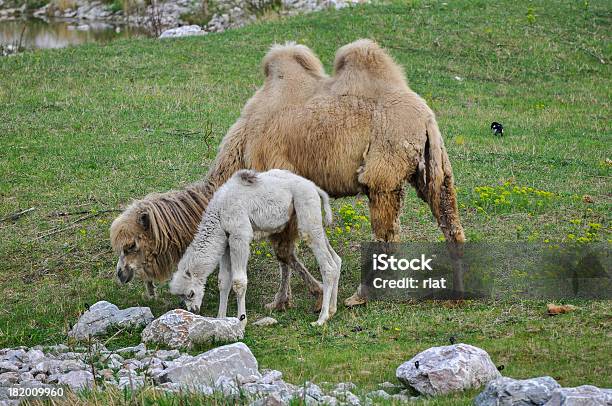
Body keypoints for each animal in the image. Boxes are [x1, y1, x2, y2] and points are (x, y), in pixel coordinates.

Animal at [110, 40, 464, 308]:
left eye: (131, 245)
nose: (121, 274)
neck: (243, 142)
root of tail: (424, 118)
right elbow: (284, 251)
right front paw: (294, 296)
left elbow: (283, 250)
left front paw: (301, 296)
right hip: (434, 170)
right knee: (449, 220)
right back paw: (458, 290)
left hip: (383, 171)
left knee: (386, 232)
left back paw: (359, 296)